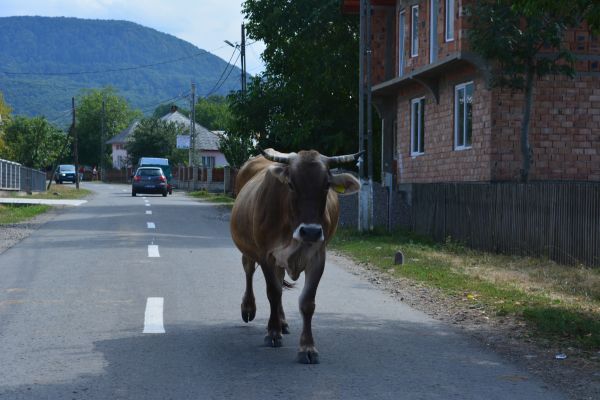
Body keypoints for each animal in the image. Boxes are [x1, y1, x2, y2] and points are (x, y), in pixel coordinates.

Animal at [230, 148, 360, 364]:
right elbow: (273, 293)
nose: (311, 231)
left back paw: (282, 322)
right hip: (249, 248)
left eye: (326, 185)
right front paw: (273, 333)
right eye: (291, 184)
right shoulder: (266, 255)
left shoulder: (317, 257)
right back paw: (249, 308)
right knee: (248, 268)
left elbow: (307, 302)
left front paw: (307, 347)